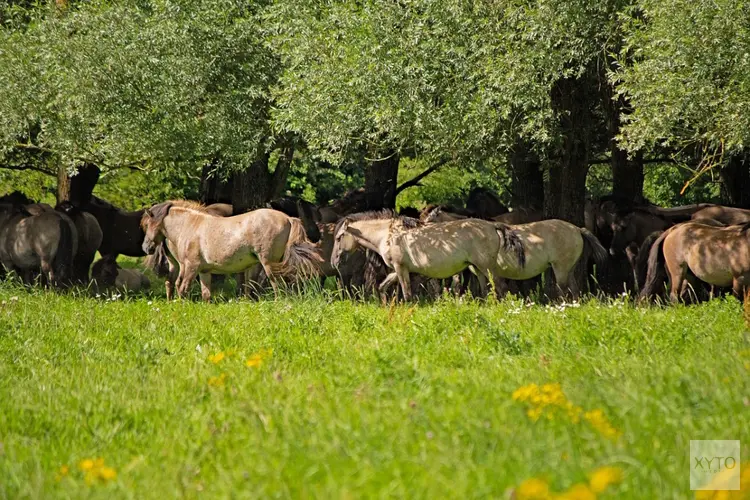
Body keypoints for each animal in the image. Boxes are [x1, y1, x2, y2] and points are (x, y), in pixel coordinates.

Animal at [141, 199, 320, 300]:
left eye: (147, 224)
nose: (146, 247)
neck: (191, 225)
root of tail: (288, 218)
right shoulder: (203, 271)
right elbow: (206, 295)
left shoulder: (191, 267)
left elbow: (183, 288)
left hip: (268, 264)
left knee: (278, 286)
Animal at [332, 211, 524, 300]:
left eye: (339, 237)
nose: (334, 261)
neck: (388, 234)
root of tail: (493, 226)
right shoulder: (398, 270)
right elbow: (382, 287)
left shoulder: (401, 269)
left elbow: (407, 294)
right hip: (478, 269)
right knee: (486, 291)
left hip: (486, 267)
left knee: (502, 288)